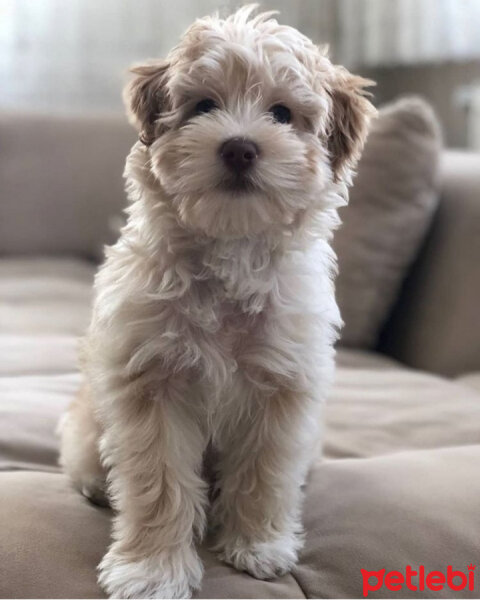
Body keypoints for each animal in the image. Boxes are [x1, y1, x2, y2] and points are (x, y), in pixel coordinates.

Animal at [60, 5, 376, 600]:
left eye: (282, 113)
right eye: (204, 106)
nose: (239, 147)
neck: (230, 250)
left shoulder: (282, 385)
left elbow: (264, 471)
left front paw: (259, 544)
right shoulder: (151, 382)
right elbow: (159, 481)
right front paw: (153, 570)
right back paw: (95, 486)